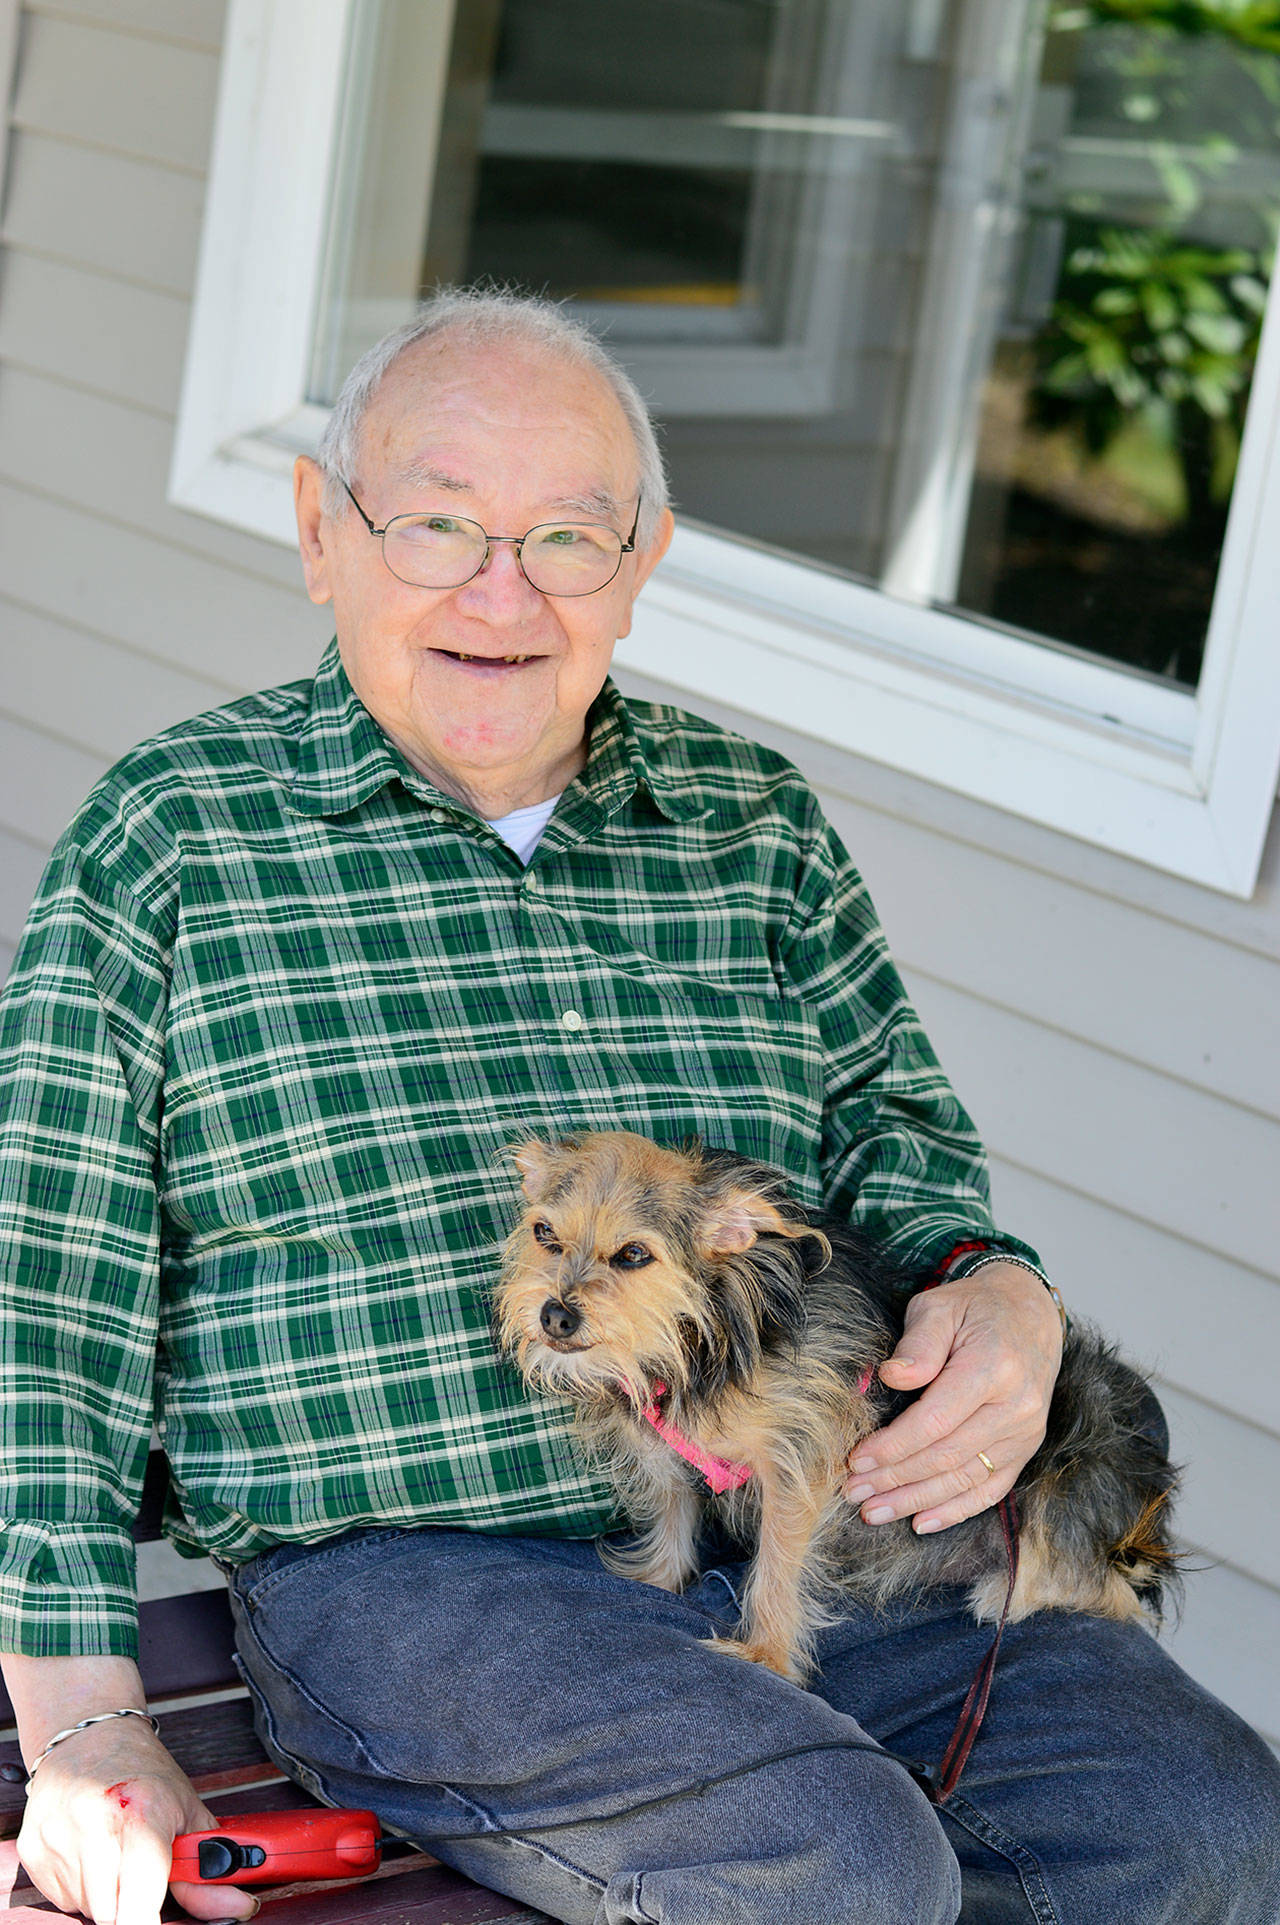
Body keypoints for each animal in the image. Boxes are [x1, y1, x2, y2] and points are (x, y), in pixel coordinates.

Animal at [496, 1131, 1177, 1678]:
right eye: (544, 1234)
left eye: (634, 1254)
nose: (555, 1315)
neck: (708, 1335)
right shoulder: (668, 1454)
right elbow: (671, 1513)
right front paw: (659, 1580)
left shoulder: (797, 1464)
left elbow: (776, 1567)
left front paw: (766, 1656)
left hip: (1073, 1459)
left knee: (1109, 1590)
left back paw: (1007, 1592)